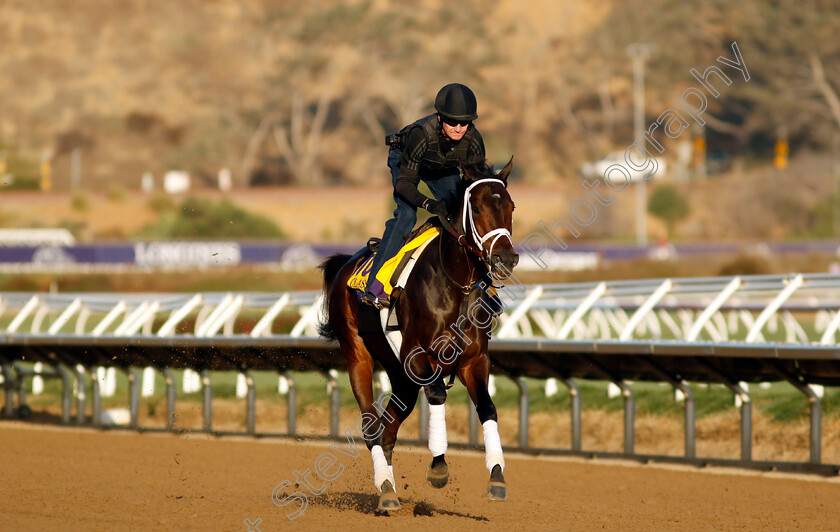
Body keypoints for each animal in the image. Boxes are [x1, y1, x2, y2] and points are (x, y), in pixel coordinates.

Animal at [318, 158, 520, 512]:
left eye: (510, 206)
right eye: (477, 207)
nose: (505, 258)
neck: (455, 284)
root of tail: (347, 262)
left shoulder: (474, 360)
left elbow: (487, 408)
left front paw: (497, 475)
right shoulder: (417, 356)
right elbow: (438, 395)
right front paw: (438, 467)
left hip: (401, 378)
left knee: (388, 430)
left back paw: (387, 488)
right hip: (359, 356)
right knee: (371, 426)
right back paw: (385, 489)